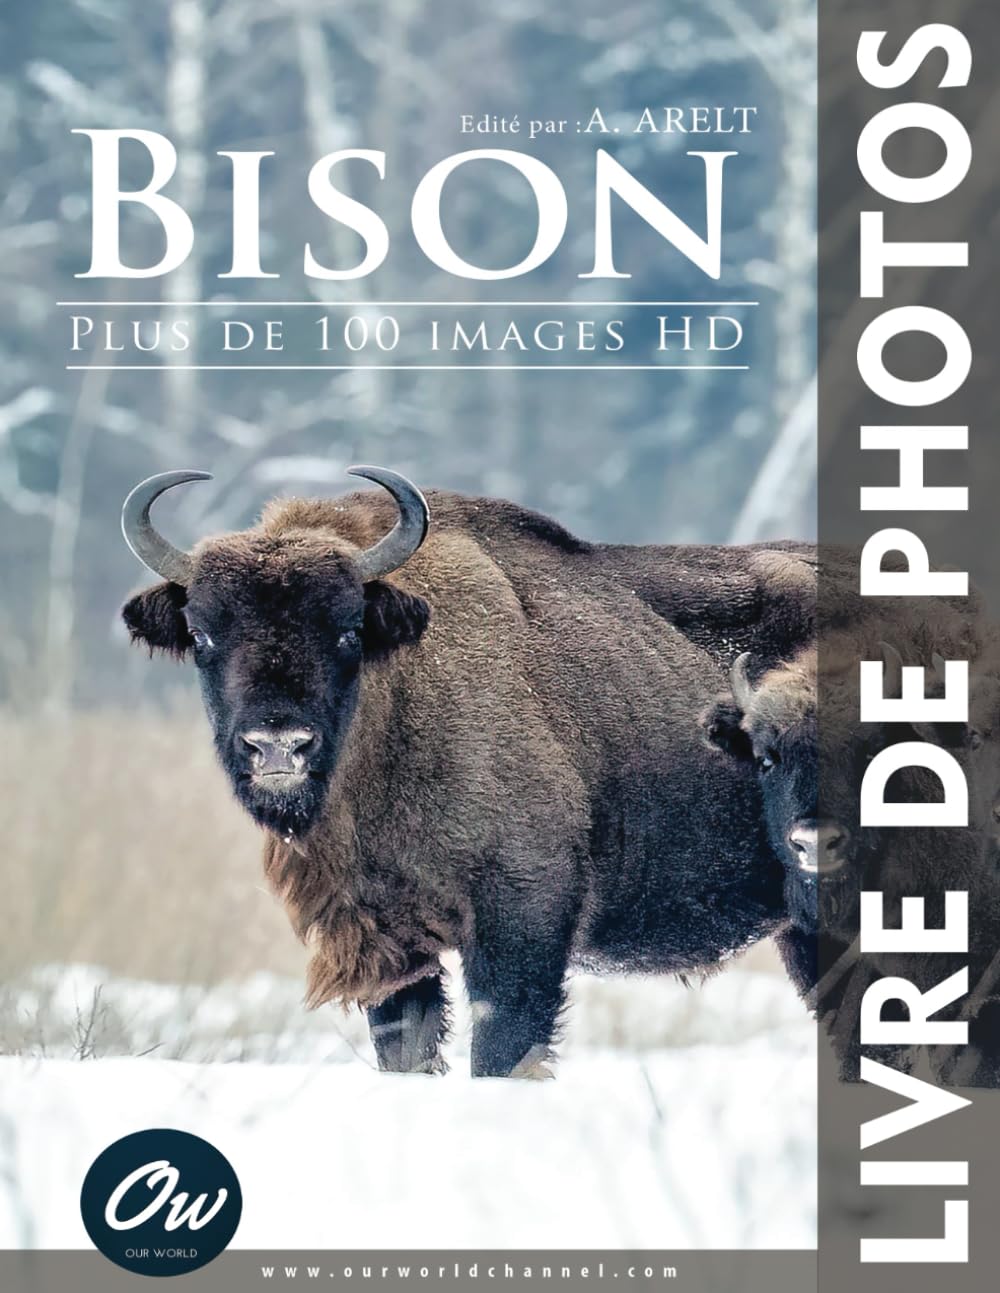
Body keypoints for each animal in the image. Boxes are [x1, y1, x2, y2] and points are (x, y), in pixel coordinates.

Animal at [121, 465, 816, 1077]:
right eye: (202, 634)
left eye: (348, 630)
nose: (277, 745)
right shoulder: (389, 939)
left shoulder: (521, 916)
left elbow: (500, 1051)